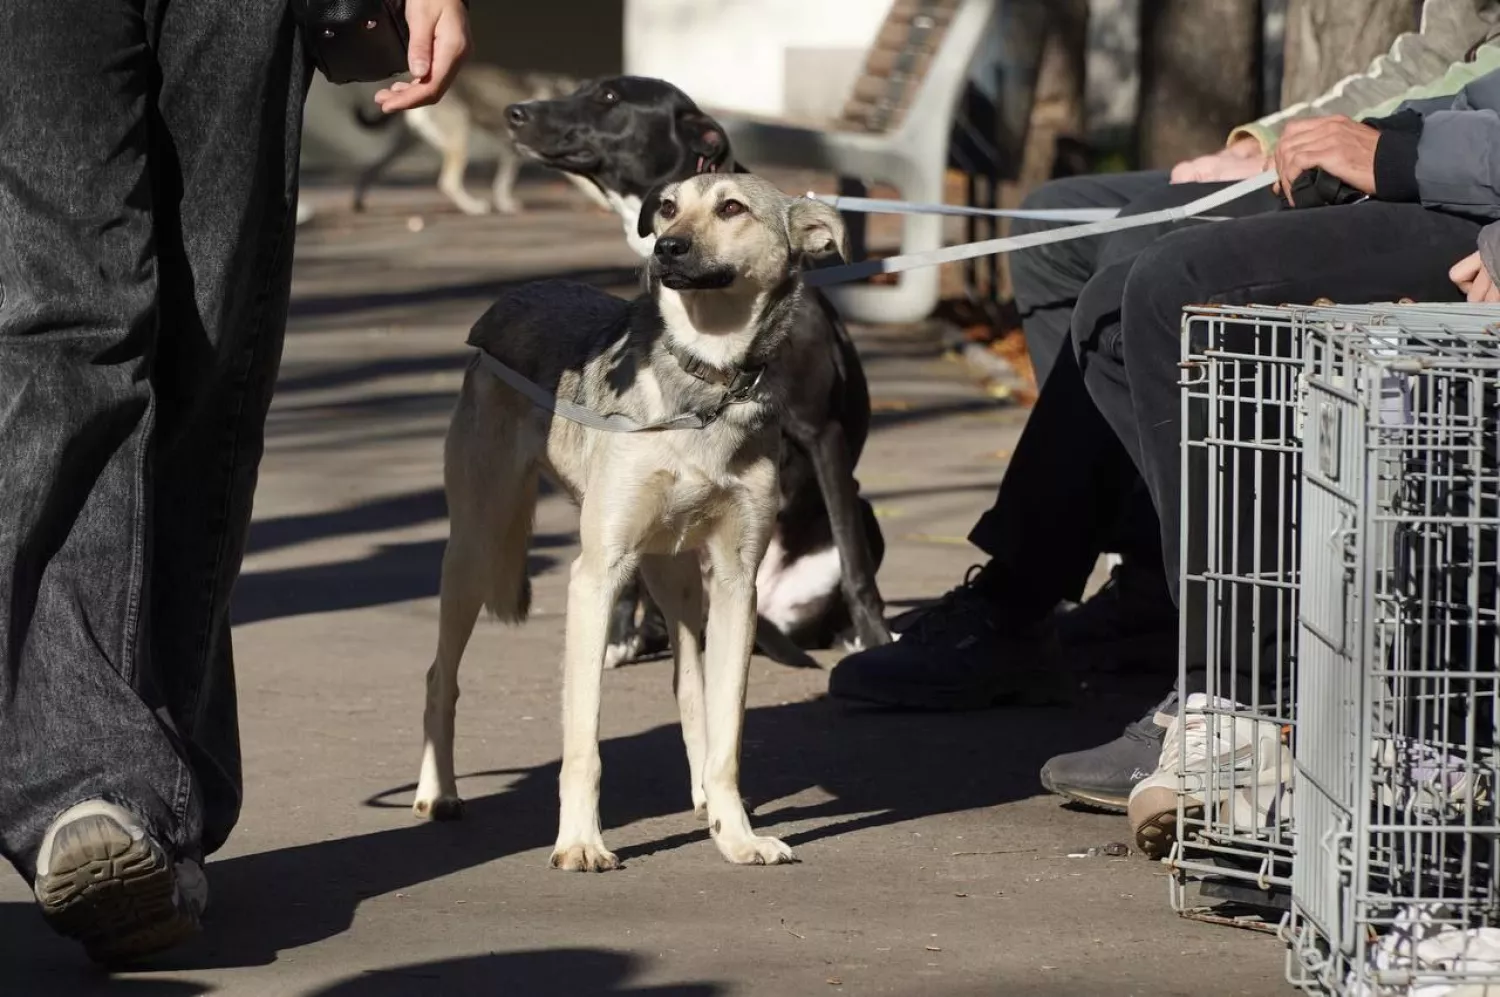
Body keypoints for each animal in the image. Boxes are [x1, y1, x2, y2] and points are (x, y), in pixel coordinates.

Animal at [510, 75, 894, 659]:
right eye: (667, 209)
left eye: (608, 98)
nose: (515, 112)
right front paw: (620, 634)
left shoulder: (822, 433)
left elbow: (853, 563)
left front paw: (873, 634)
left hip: (861, 509)